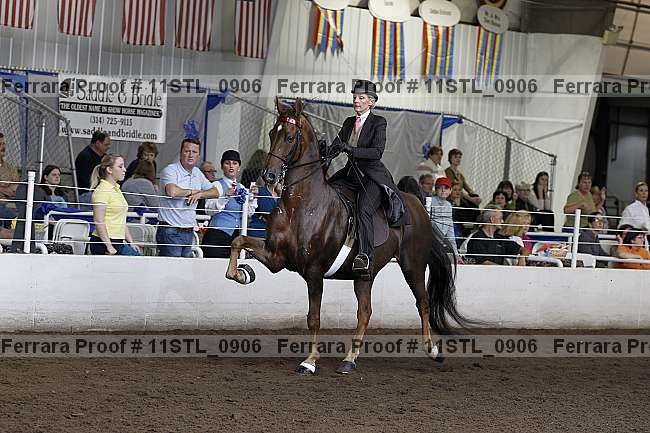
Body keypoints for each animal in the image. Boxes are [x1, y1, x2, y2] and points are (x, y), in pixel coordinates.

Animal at [226, 98, 470, 375]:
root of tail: (417, 203)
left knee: (423, 303)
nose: (268, 176)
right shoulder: (276, 257)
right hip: (364, 275)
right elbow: (238, 241)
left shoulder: (314, 271)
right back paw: (349, 360)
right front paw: (242, 273)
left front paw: (309, 361)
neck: (301, 205)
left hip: (413, 266)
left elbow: (314, 318)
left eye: (289, 136)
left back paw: (433, 351)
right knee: (365, 312)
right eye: (271, 133)